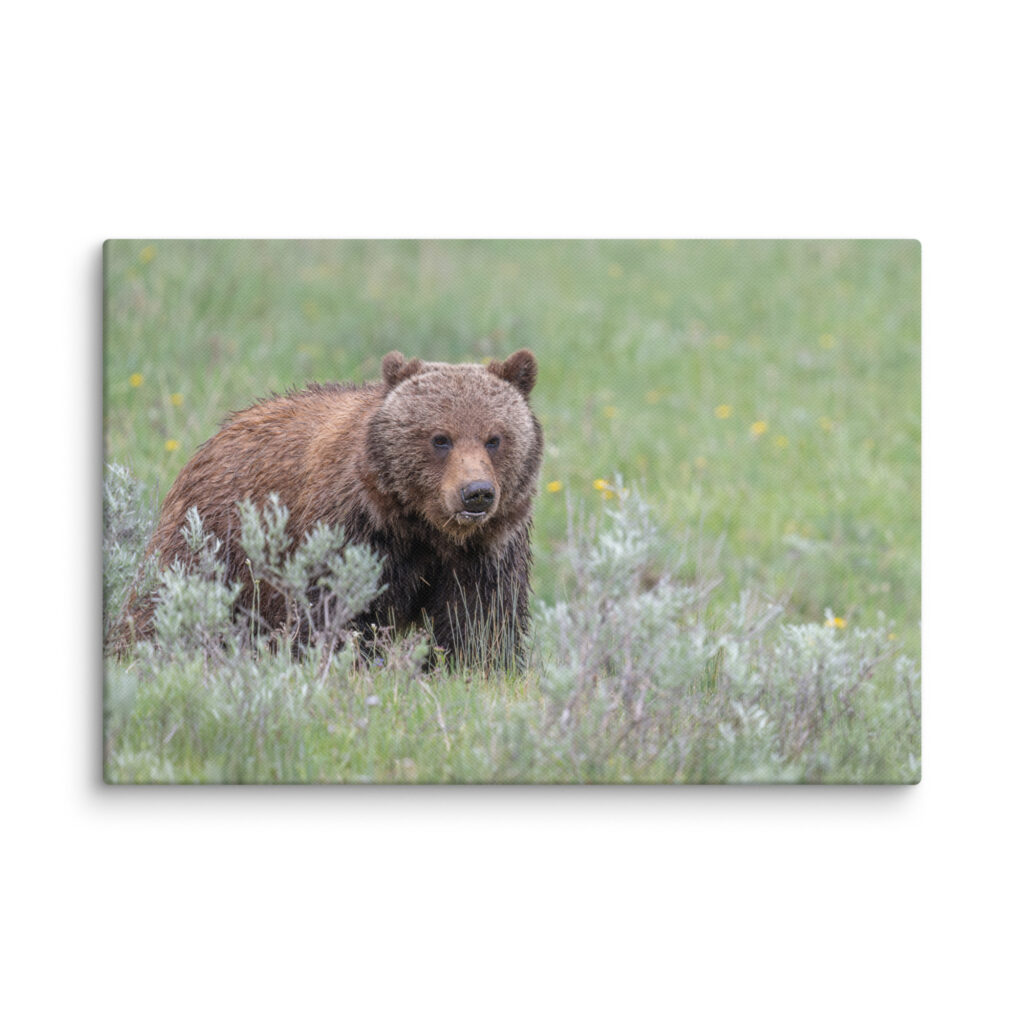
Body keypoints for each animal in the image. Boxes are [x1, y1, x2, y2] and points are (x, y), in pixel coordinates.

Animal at [125, 349, 543, 670]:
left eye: (494, 438)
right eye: (440, 438)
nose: (476, 493)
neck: (421, 526)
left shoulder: (485, 549)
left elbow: (480, 620)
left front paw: (476, 667)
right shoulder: (351, 531)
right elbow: (335, 610)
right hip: (212, 538)